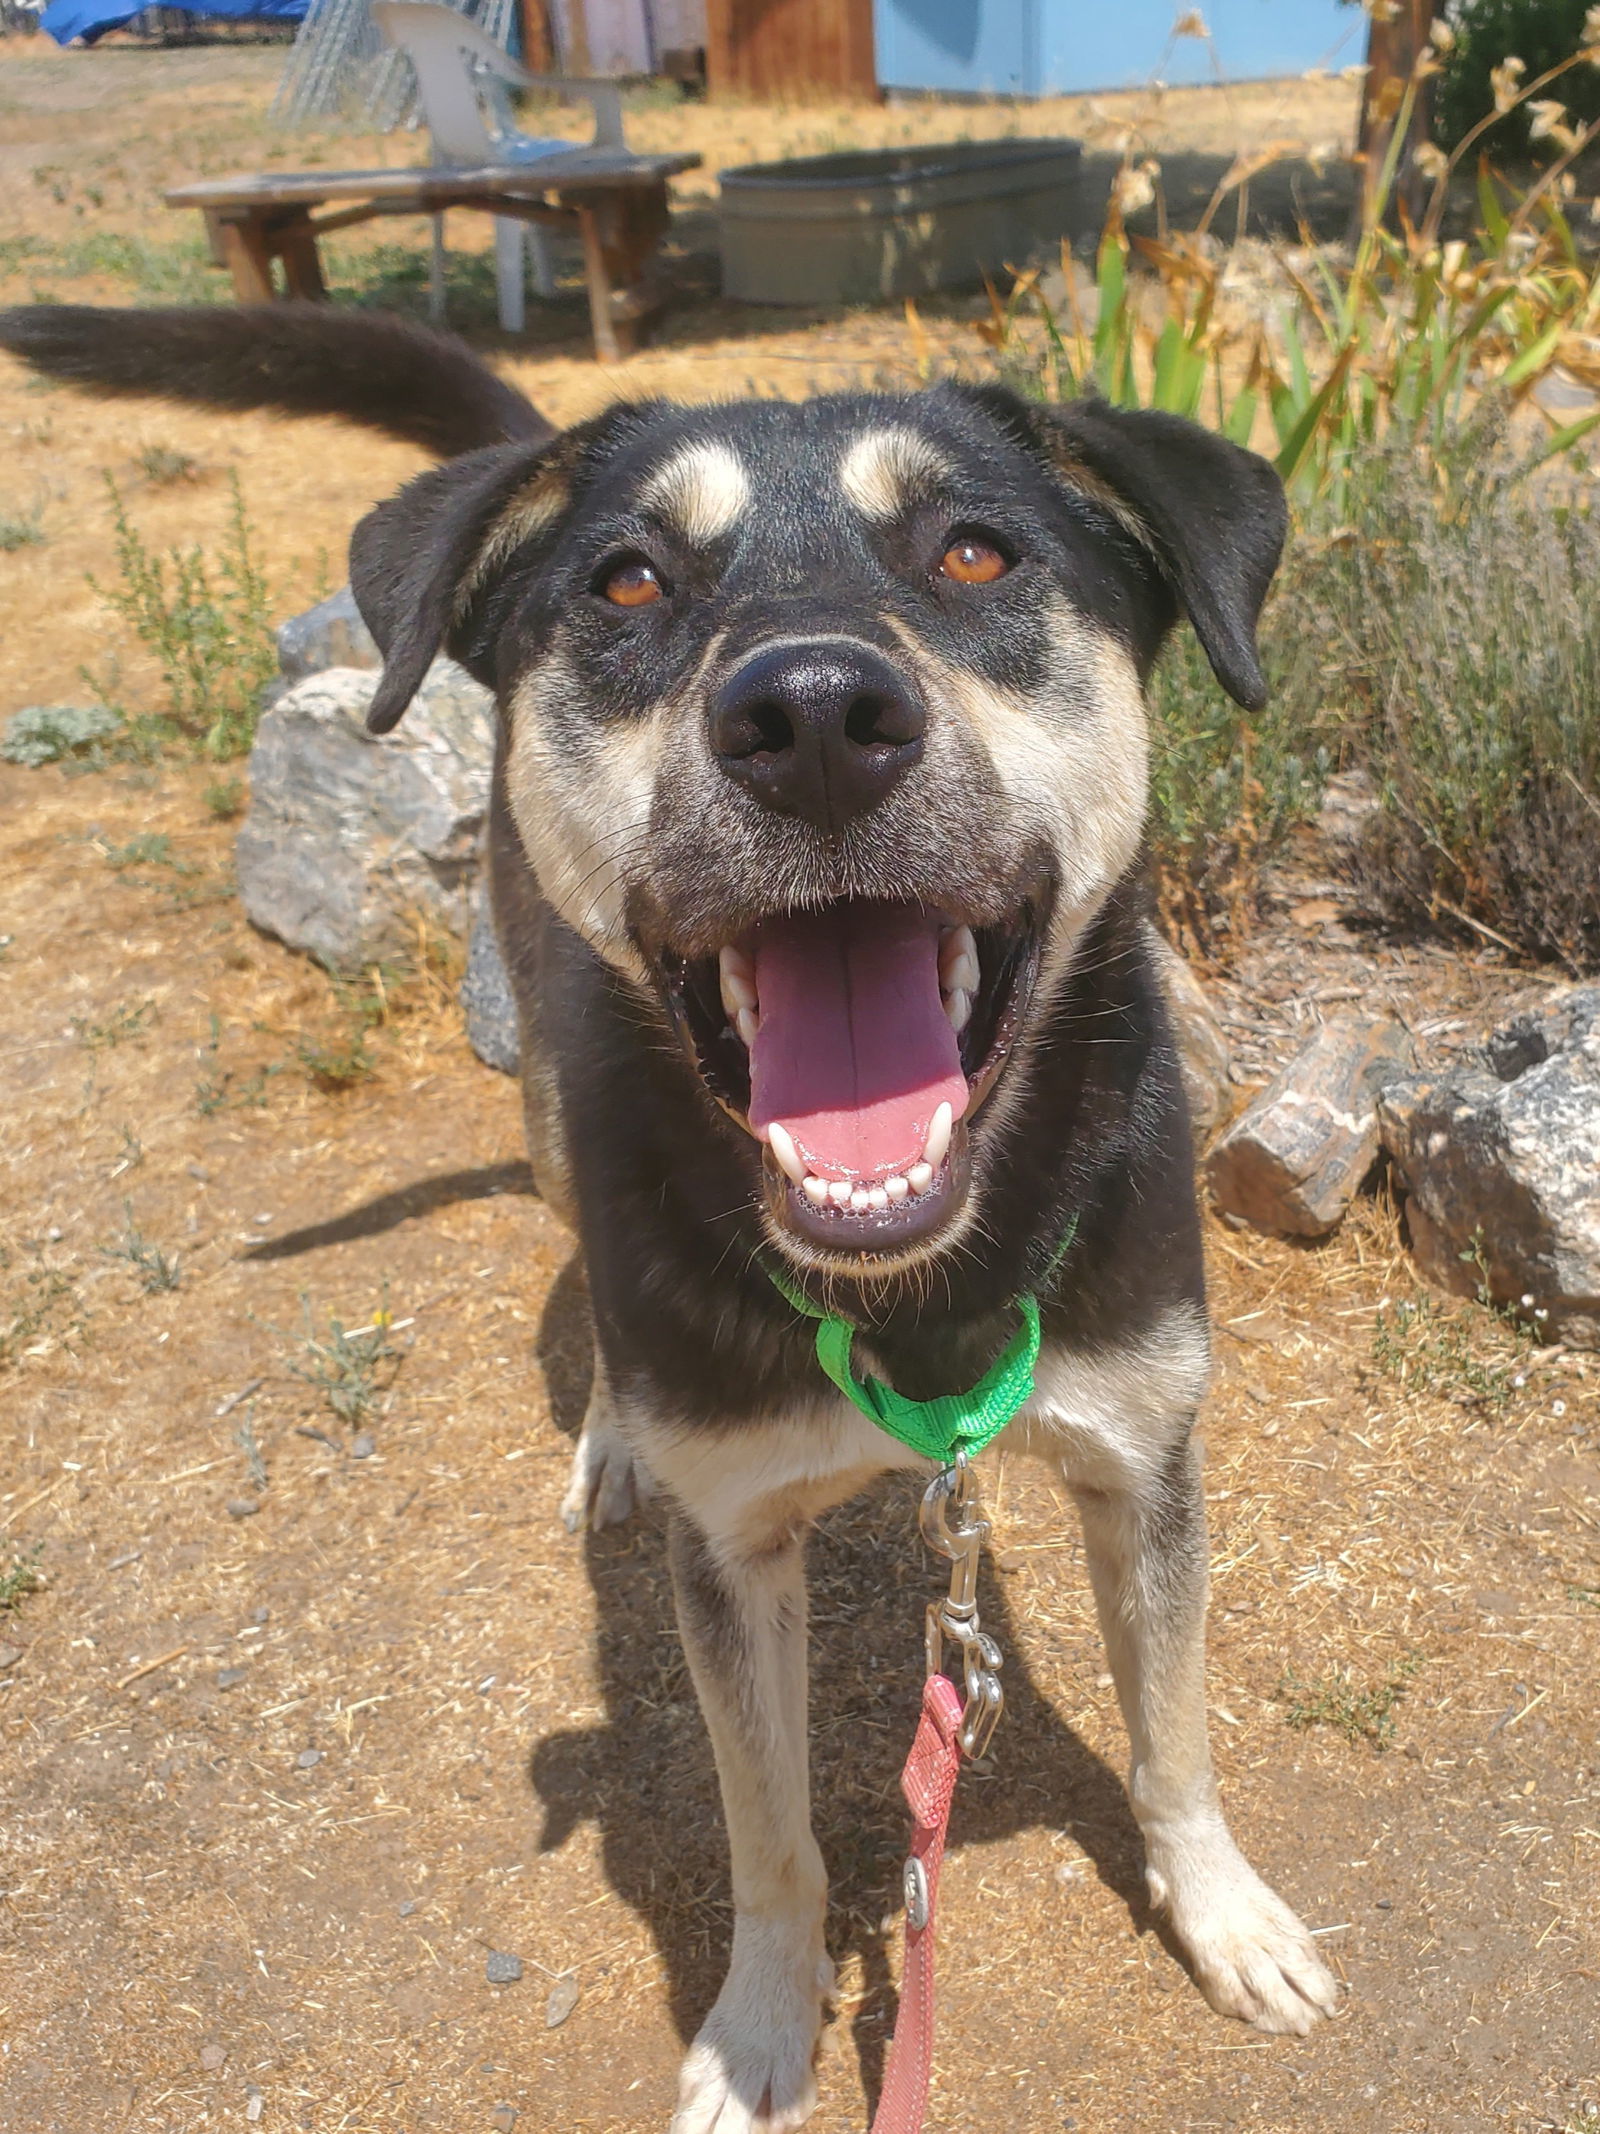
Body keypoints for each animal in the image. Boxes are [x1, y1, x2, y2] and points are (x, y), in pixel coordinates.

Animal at [3, 305, 1339, 2134]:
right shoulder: (736, 1548)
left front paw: (1225, 1913)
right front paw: (762, 2031)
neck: (918, 1278)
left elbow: (1176, 1733)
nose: (819, 714)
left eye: (975, 551)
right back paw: (613, 1438)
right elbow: (768, 1837)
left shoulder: (1147, 1455)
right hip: (552, 1106)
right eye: (629, 580)